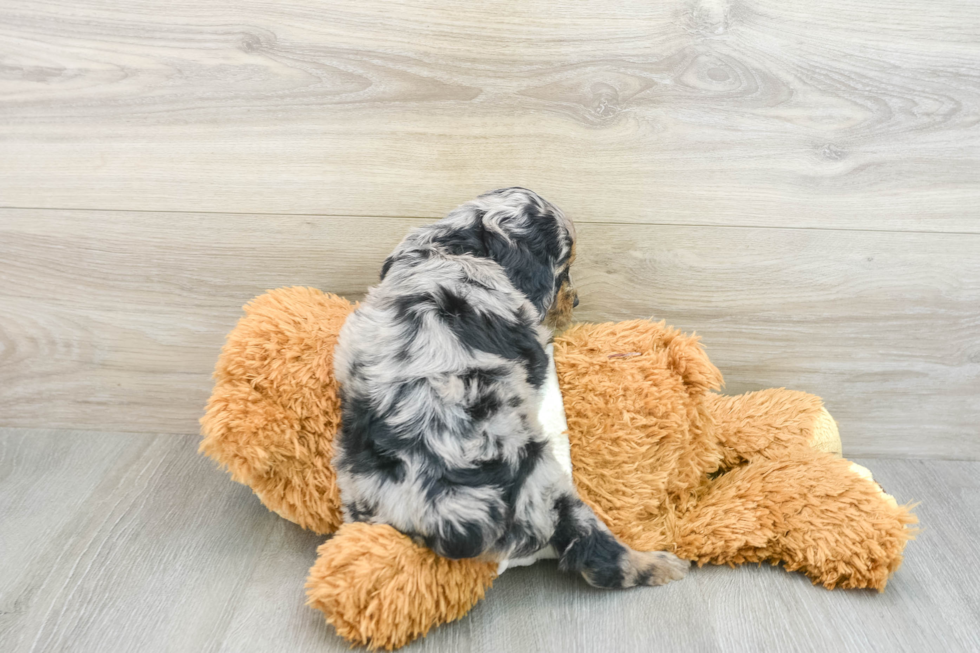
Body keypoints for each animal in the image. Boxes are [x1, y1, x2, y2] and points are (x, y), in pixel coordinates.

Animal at [334, 187, 684, 584]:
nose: (576, 300)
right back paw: (657, 565)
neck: (455, 246)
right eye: (563, 269)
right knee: (594, 554)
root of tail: (451, 515)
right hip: (545, 487)